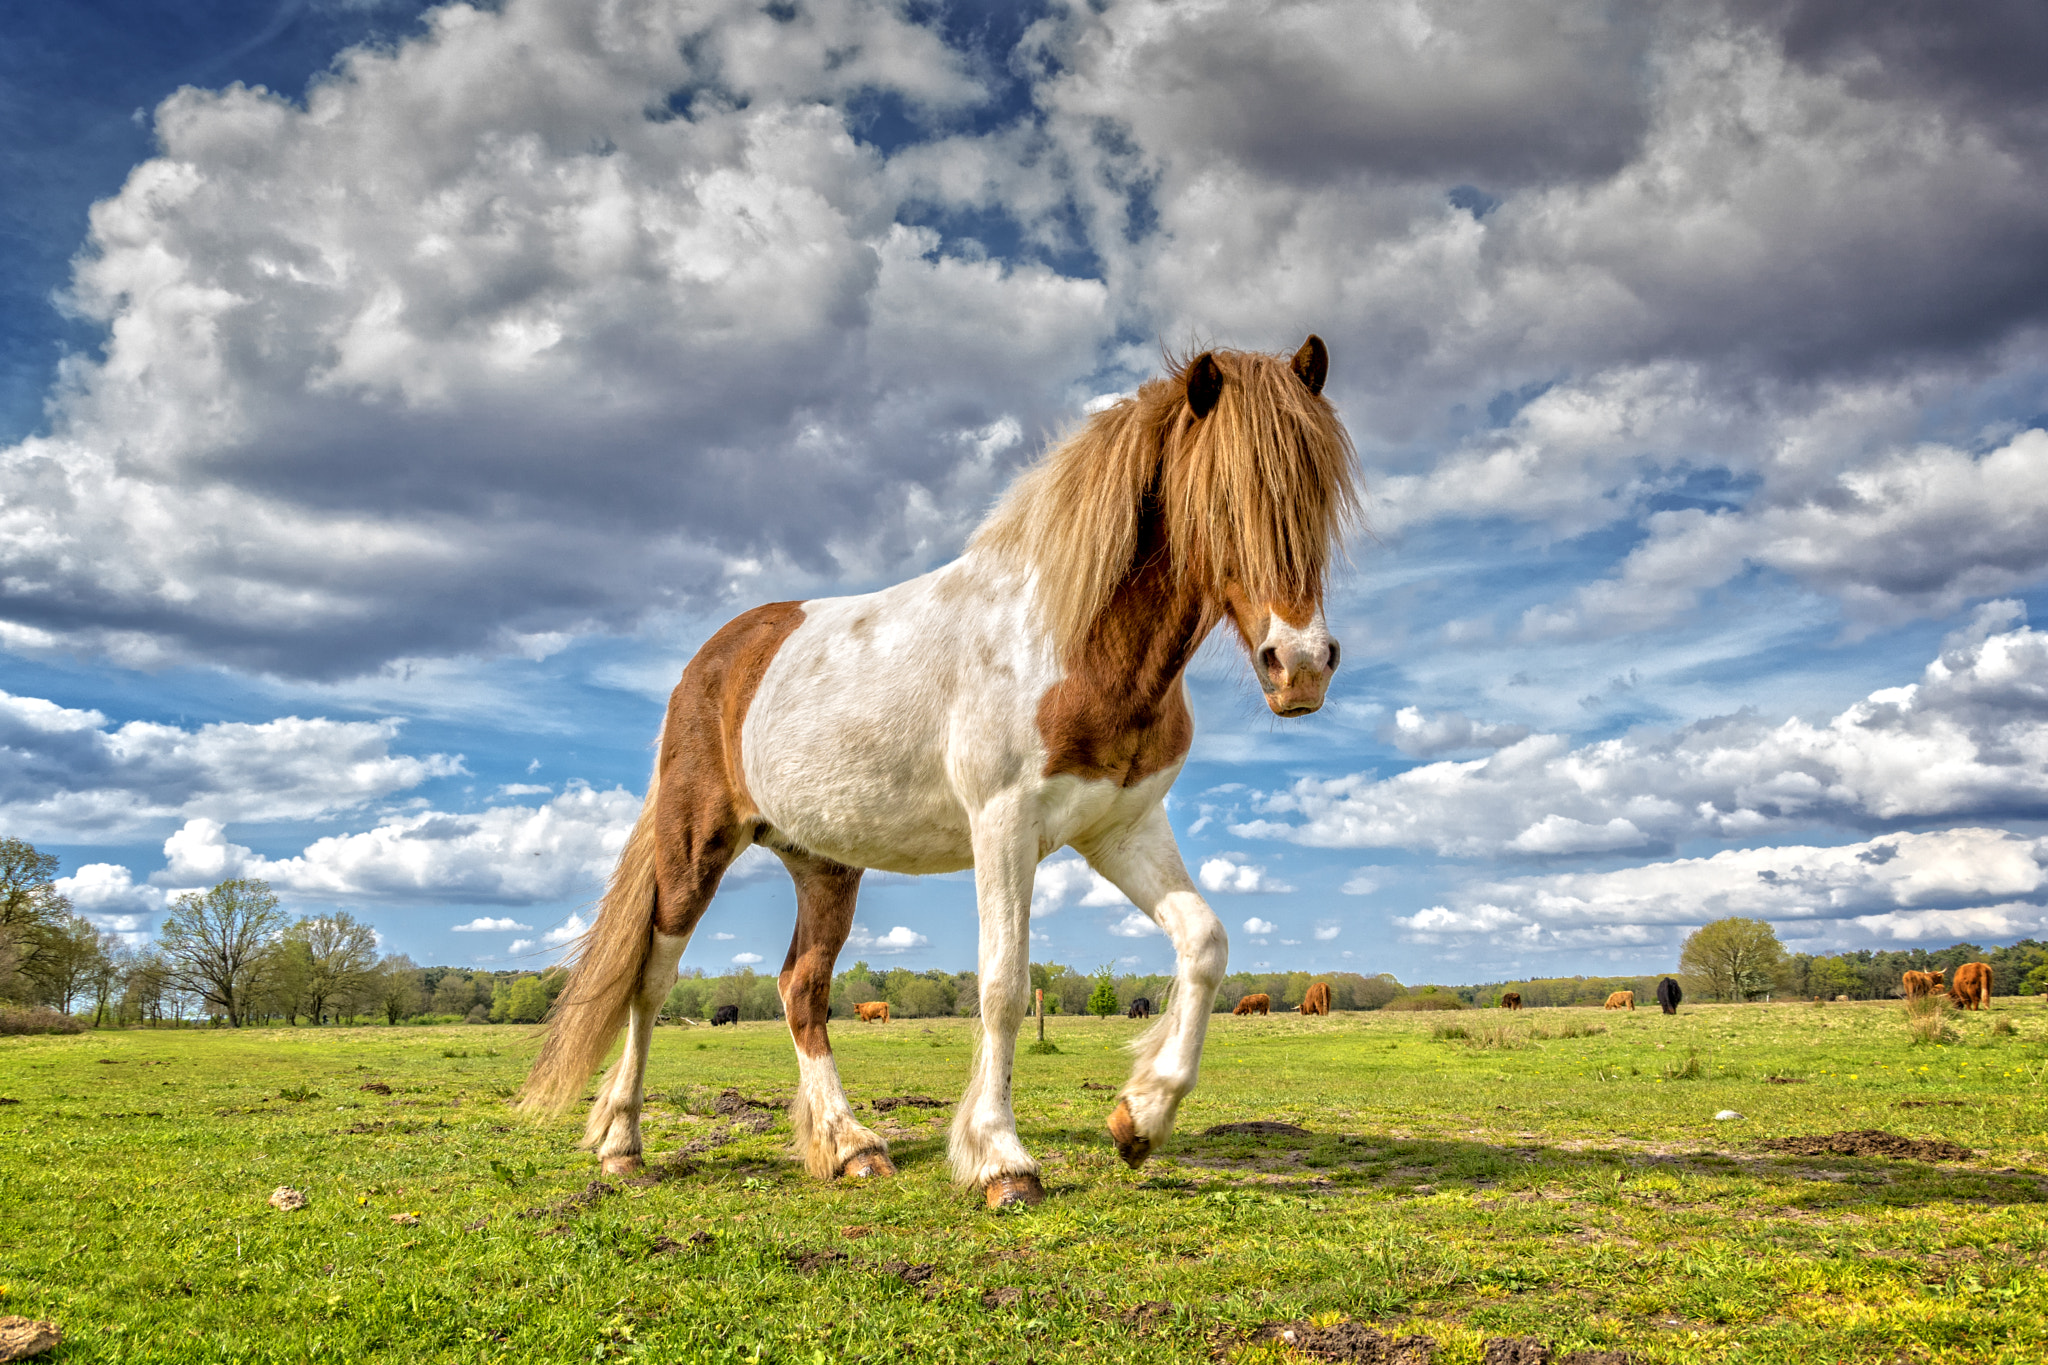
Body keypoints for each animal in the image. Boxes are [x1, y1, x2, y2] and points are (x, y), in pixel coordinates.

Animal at [520, 338, 1360, 1209]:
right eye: (1222, 498)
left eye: (1318, 494)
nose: (1300, 664)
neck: (1071, 642)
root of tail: (713, 660)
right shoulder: (1004, 824)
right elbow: (1003, 984)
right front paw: (1003, 1159)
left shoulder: (1121, 827)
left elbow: (1204, 942)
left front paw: (1141, 1117)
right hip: (695, 848)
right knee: (651, 980)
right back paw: (623, 1143)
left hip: (824, 865)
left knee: (800, 990)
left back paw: (852, 1145)